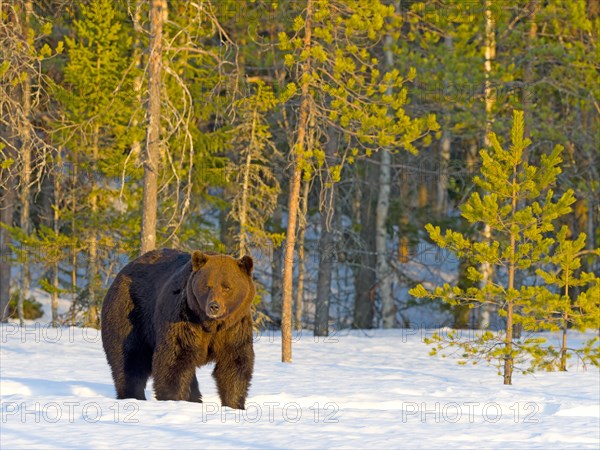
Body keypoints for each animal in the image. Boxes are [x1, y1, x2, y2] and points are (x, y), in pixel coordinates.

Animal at [101, 248, 255, 410]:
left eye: (227, 287)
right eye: (207, 286)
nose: (214, 306)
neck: (210, 324)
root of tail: (123, 271)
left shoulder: (233, 328)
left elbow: (234, 364)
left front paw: (234, 405)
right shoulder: (183, 318)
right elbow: (174, 360)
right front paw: (174, 399)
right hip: (130, 314)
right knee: (129, 358)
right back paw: (133, 396)